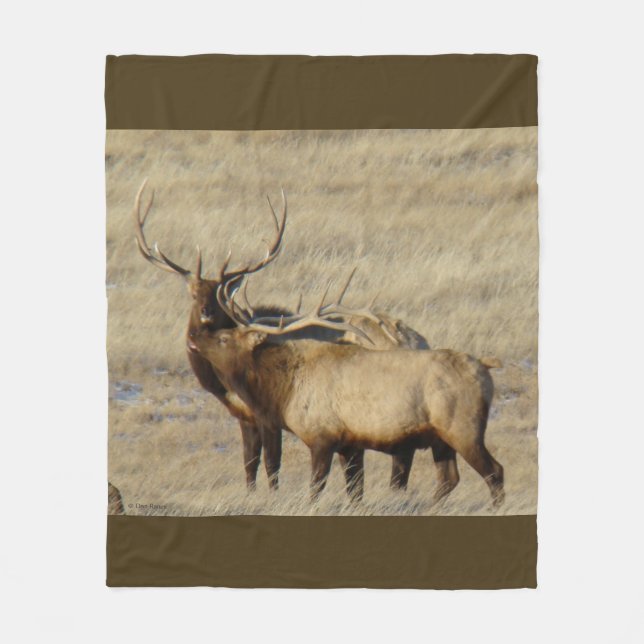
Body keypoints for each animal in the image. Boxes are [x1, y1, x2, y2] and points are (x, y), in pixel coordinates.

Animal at [187, 280, 505, 507]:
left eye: (224, 338)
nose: (194, 337)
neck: (283, 391)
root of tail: (485, 366)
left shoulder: (321, 437)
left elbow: (315, 489)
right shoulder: (349, 444)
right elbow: (355, 492)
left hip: (463, 428)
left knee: (494, 472)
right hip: (440, 439)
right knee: (448, 479)